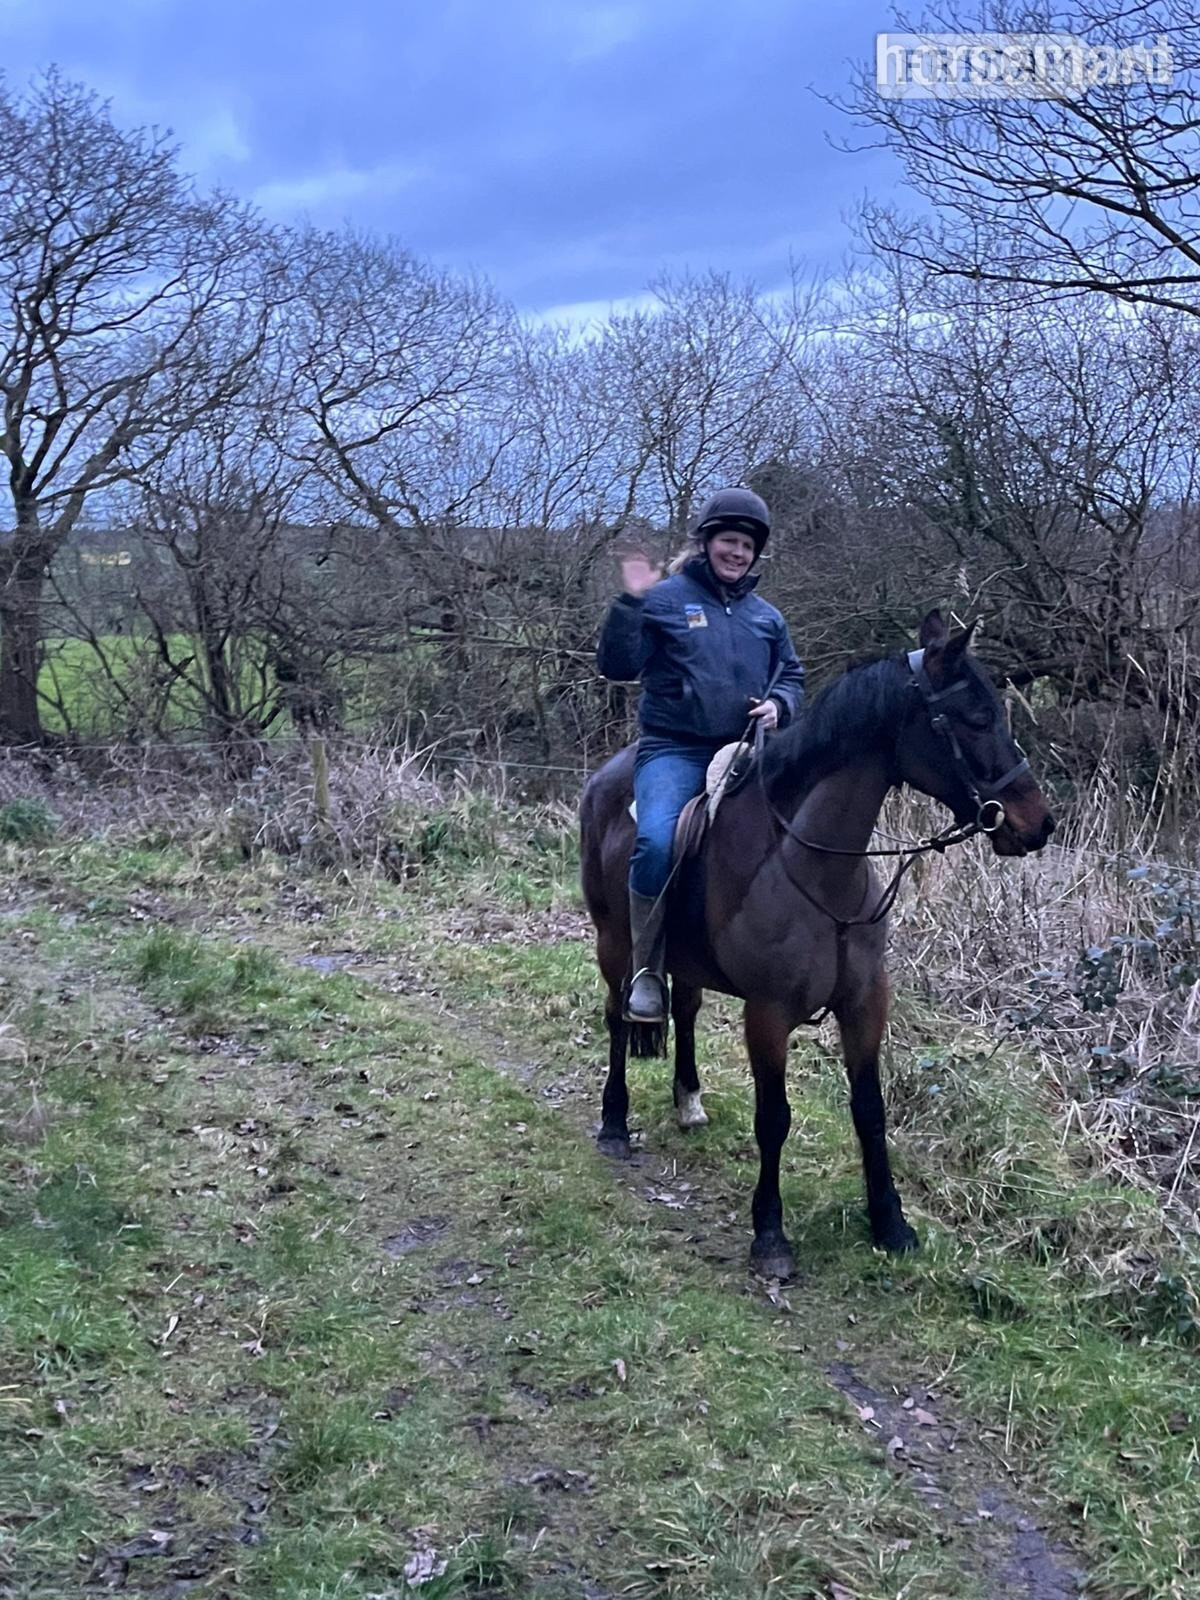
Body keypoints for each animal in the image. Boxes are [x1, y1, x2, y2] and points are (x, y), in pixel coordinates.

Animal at [579, 611, 1055, 1280]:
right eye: (975, 718)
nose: (1037, 824)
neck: (819, 866)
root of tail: (606, 776)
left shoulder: (865, 1003)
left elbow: (870, 1111)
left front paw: (890, 1224)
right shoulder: (768, 1014)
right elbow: (773, 1119)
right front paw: (770, 1233)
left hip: (684, 960)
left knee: (686, 1009)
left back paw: (689, 1102)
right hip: (615, 943)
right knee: (619, 1018)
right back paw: (615, 1122)